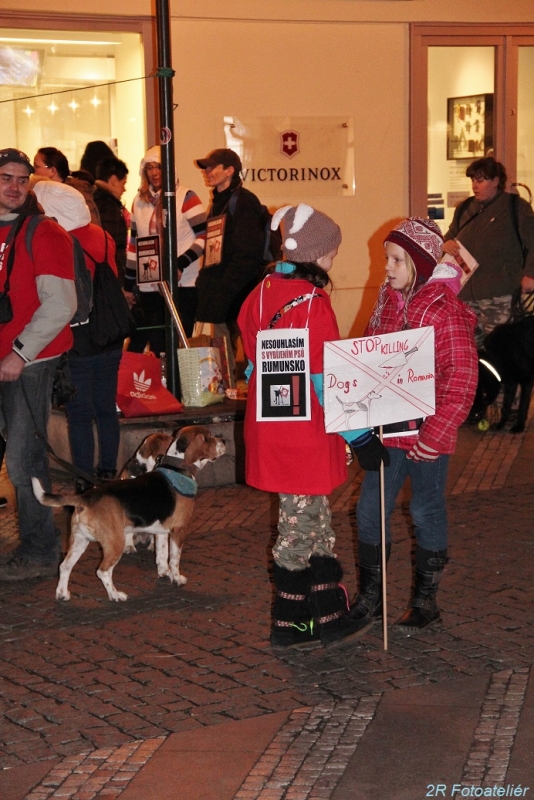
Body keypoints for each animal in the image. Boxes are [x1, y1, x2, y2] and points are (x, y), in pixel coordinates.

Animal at [32, 425, 226, 601]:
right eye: (209, 436)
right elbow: (174, 558)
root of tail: (86, 497)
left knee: (64, 566)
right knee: (103, 571)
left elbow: (162, 555)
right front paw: (177, 578)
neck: (177, 467)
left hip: (79, 540)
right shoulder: (179, 530)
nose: (223, 440)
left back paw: (62, 594)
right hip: (115, 542)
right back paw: (115, 595)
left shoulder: (161, 531)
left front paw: (164, 573)